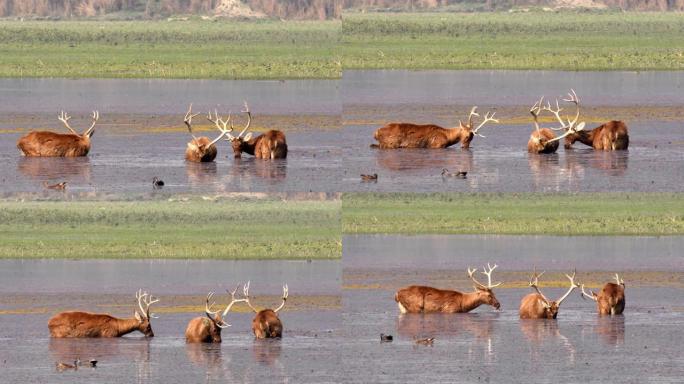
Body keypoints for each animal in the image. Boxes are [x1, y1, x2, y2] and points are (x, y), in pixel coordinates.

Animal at [372, 108, 500, 150]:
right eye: (467, 135)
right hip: (391, 143)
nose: (465, 147)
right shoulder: (437, 145)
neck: (448, 137)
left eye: (473, 138)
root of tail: (376, 132)